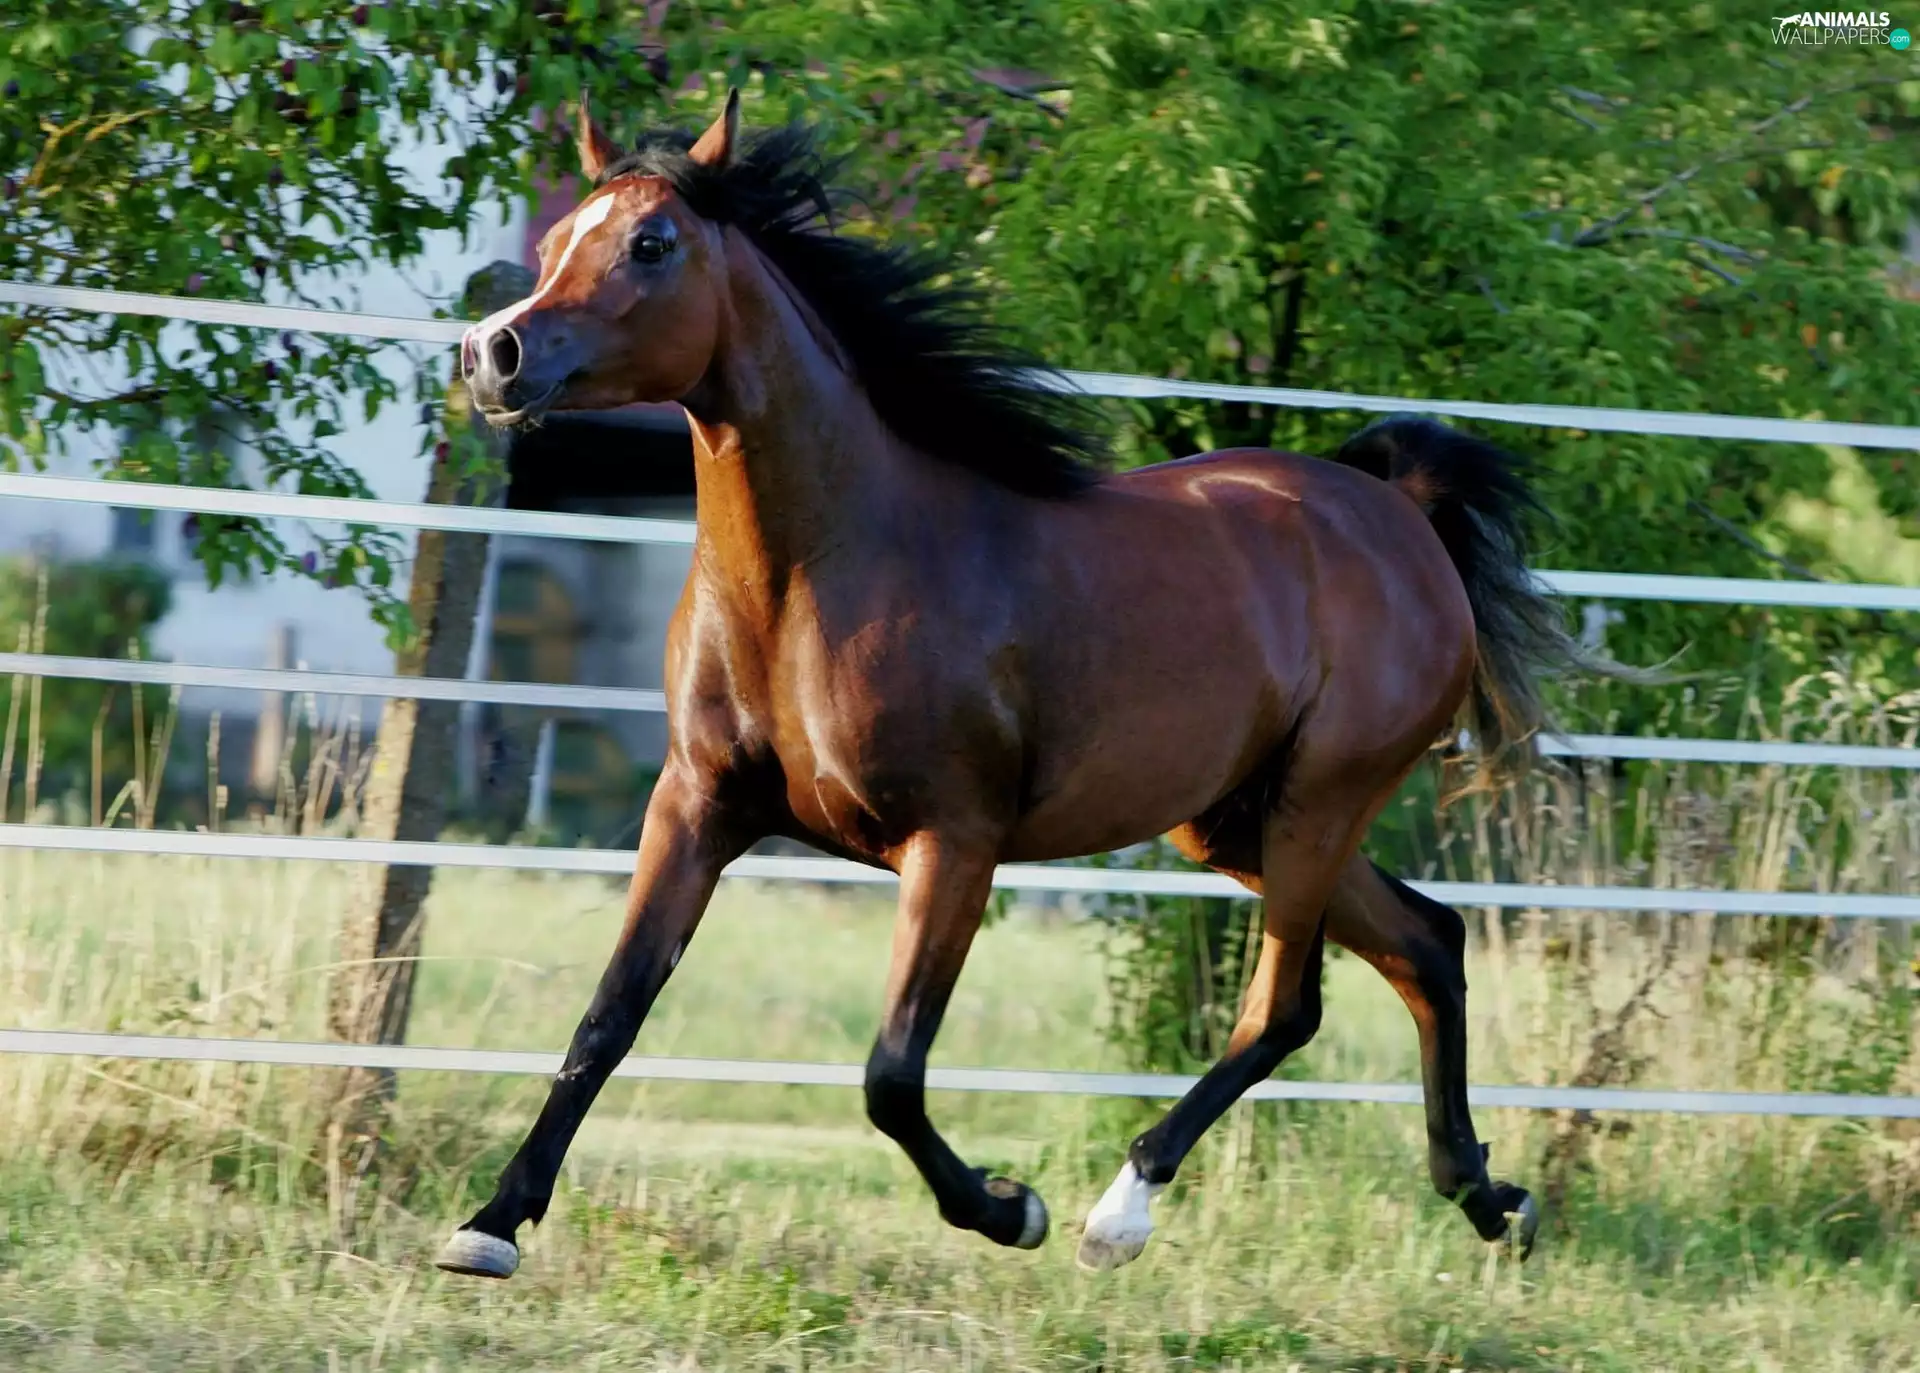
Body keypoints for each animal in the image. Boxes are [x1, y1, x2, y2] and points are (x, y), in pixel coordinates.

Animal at [436, 89, 1596, 1280]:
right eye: (560, 241)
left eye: (652, 244)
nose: (493, 353)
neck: (821, 574)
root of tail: (1395, 509)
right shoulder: (698, 805)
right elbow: (608, 1016)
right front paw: (491, 1222)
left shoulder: (954, 839)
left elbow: (891, 1073)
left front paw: (1009, 1206)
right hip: (1234, 819)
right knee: (1427, 943)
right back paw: (1494, 1200)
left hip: (1320, 800)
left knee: (1286, 1005)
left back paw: (1118, 1212)